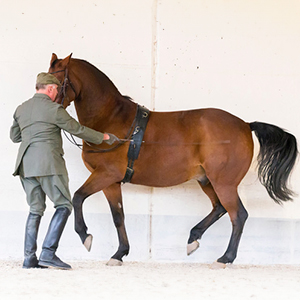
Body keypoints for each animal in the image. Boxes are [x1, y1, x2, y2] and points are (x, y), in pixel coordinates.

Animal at [48, 54, 296, 268]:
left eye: (57, 81)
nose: (48, 104)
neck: (111, 118)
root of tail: (245, 124)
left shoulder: (105, 174)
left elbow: (77, 197)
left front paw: (85, 236)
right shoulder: (111, 182)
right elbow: (118, 216)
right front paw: (119, 254)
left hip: (224, 183)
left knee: (238, 215)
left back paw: (224, 258)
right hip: (206, 180)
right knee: (219, 208)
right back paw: (193, 238)